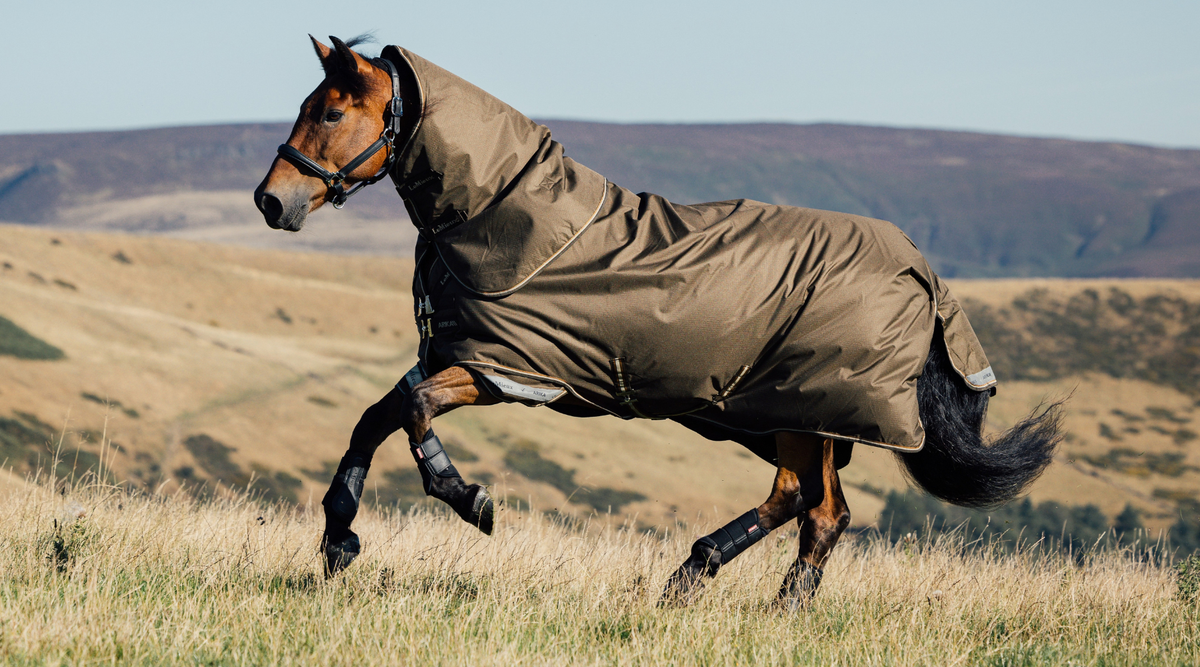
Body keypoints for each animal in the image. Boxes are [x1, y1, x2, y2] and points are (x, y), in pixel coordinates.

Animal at [254, 35, 1063, 607]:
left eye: (330, 112)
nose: (271, 201)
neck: (498, 212)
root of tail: (920, 270)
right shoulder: (462, 356)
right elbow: (374, 417)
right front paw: (338, 541)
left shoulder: (507, 370)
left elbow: (416, 413)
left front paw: (470, 500)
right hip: (791, 412)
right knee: (807, 501)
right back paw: (705, 581)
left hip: (811, 409)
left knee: (815, 508)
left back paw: (751, 598)